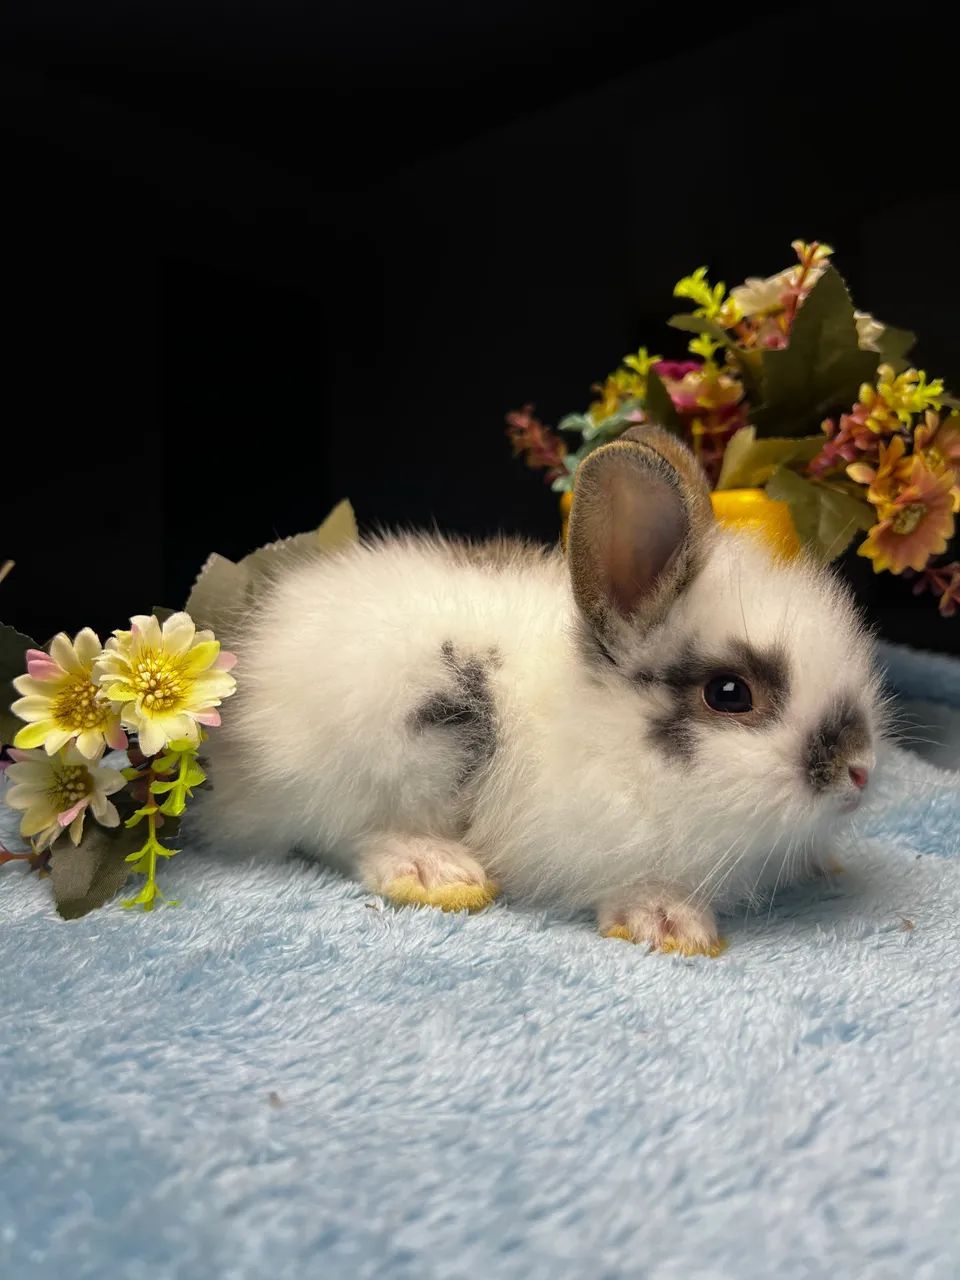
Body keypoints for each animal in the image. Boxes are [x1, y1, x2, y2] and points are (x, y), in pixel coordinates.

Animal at [195, 425, 883, 955]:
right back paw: (433, 869)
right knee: (336, 832)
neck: (616, 739)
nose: (859, 771)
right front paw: (669, 923)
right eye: (731, 693)